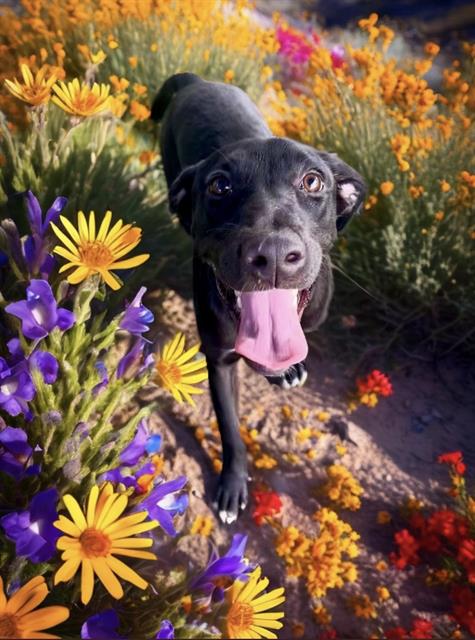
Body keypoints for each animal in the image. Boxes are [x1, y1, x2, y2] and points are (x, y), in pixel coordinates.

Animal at [151, 72, 366, 524]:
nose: (273, 255)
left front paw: (285, 369)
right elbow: (231, 429)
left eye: (313, 180)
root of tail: (197, 80)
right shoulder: (218, 360)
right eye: (219, 185)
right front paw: (232, 487)